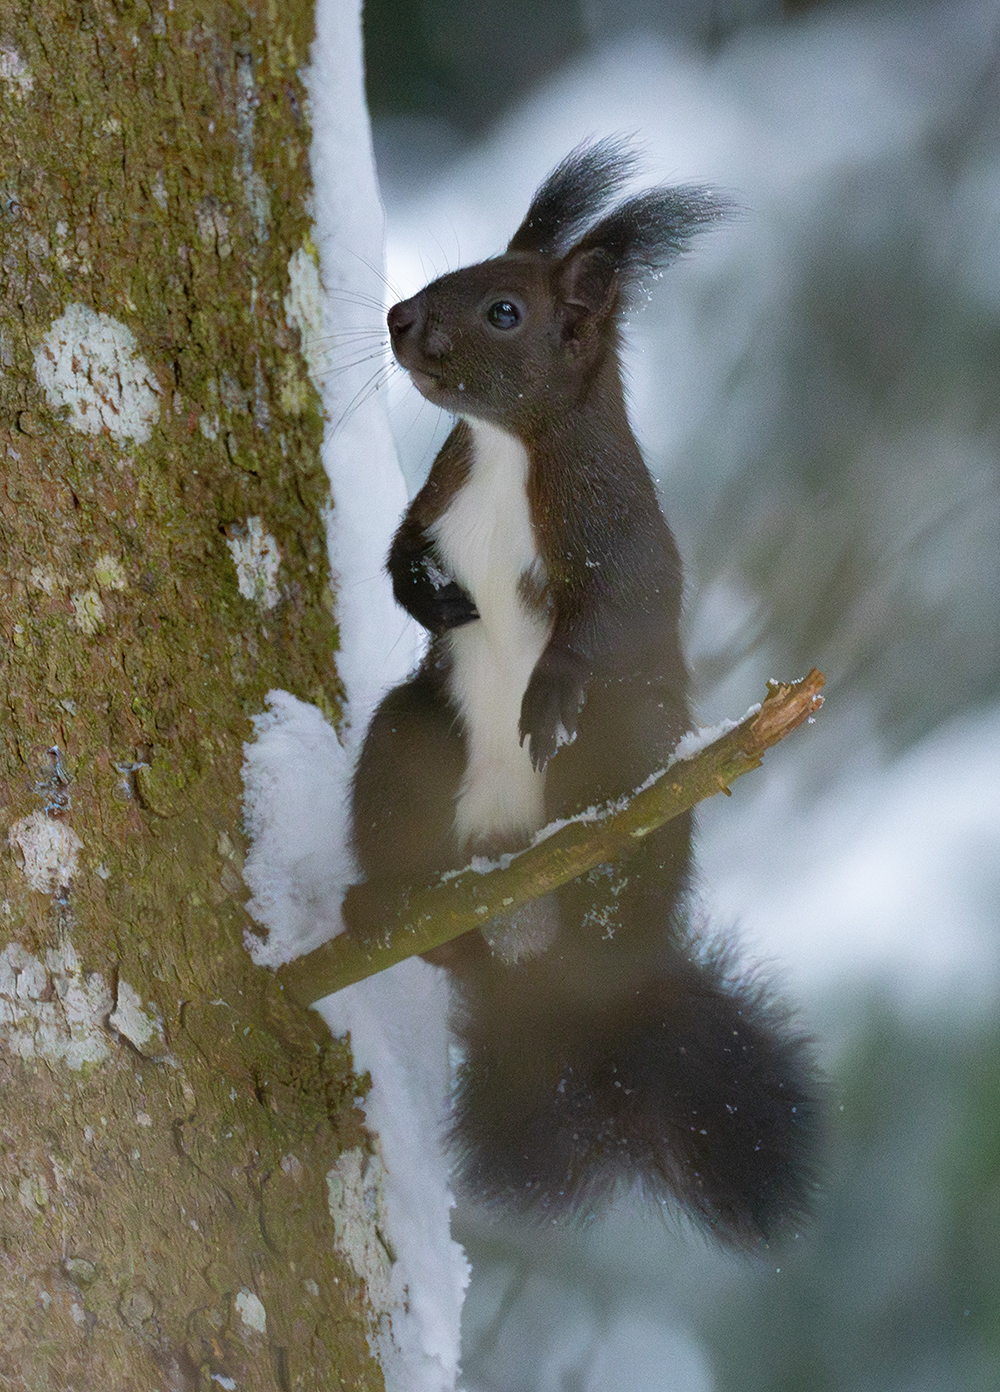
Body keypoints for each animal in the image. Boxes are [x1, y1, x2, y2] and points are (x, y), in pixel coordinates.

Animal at [344, 140, 819, 1248]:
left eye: (504, 310)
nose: (401, 319)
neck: (505, 448)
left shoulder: (615, 530)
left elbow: (605, 620)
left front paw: (546, 693)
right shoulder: (438, 494)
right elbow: (400, 552)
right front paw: (432, 599)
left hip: (630, 756)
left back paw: (590, 886)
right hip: (410, 744)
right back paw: (385, 904)